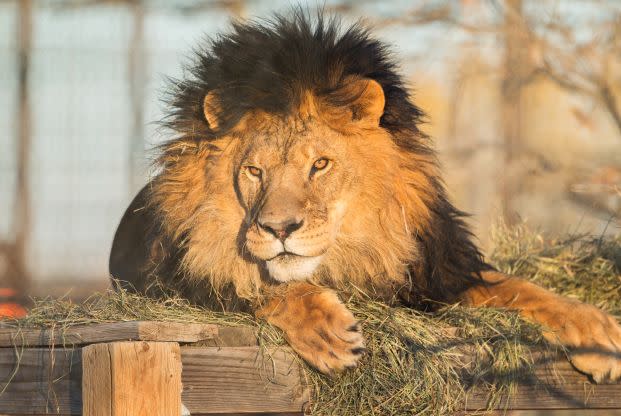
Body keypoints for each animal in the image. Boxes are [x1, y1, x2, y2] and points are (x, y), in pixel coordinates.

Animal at [110, 13, 620, 382]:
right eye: (254, 171)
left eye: (320, 165)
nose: (278, 228)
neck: (357, 249)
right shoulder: (174, 281)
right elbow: (254, 284)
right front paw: (328, 332)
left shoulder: (438, 275)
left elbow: (521, 288)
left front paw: (597, 330)